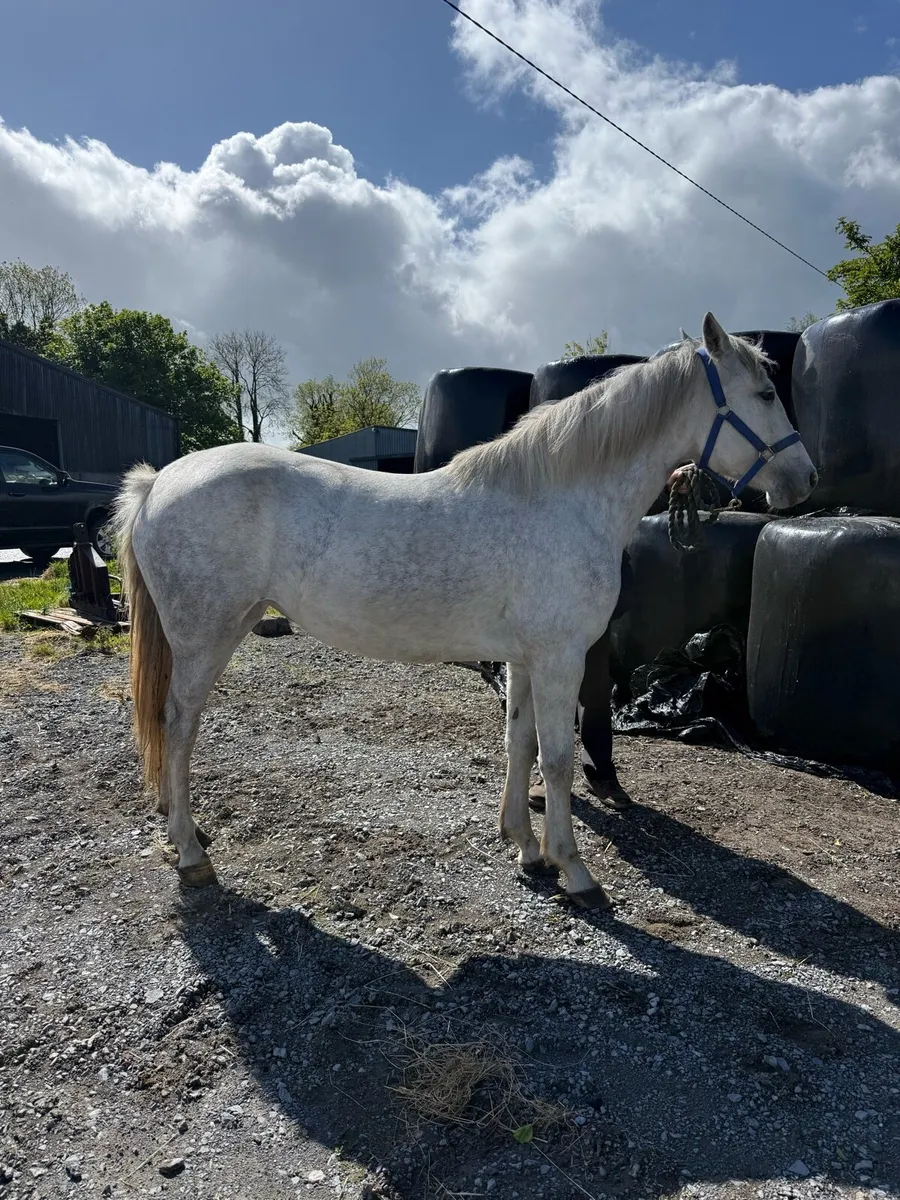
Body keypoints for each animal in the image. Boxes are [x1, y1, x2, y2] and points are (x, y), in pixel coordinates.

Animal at [114, 312, 817, 909]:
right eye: (763, 394)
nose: (806, 479)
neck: (561, 499)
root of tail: (158, 483)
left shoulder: (526, 659)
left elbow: (520, 744)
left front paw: (526, 849)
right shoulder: (560, 658)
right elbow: (557, 762)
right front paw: (575, 870)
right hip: (205, 637)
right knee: (177, 725)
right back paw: (191, 853)